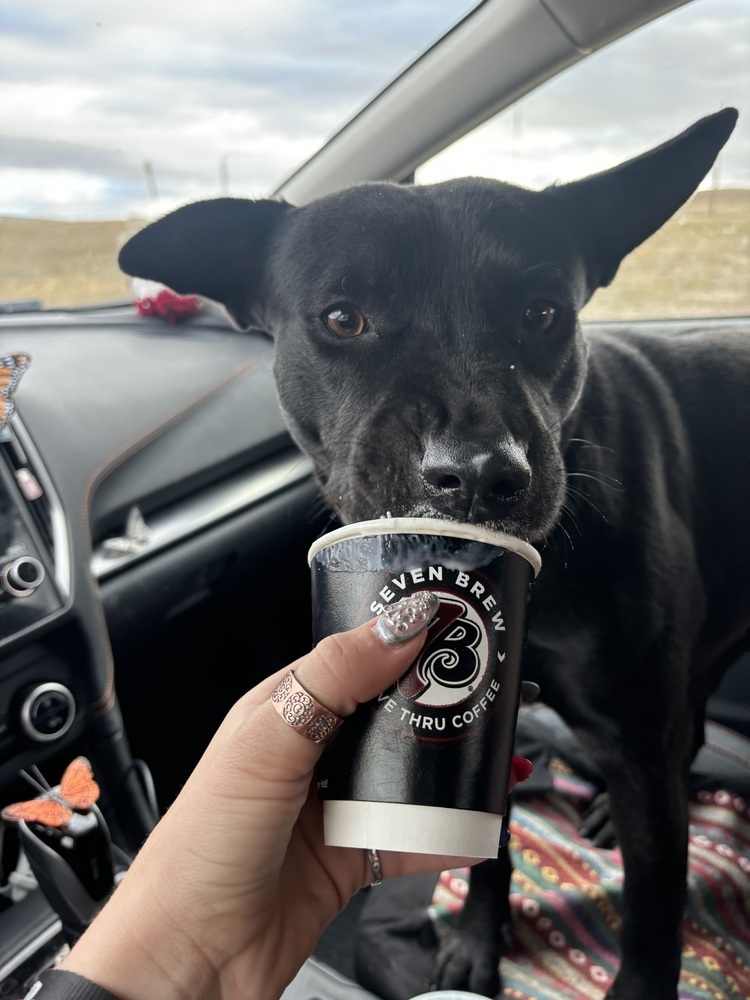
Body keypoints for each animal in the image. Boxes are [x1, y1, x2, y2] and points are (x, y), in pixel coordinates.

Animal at [117, 105, 748, 996]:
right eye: (342, 318)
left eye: (543, 313)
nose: (479, 474)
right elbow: (492, 847)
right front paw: (480, 938)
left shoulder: (636, 748)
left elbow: (654, 920)